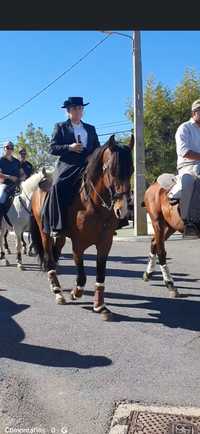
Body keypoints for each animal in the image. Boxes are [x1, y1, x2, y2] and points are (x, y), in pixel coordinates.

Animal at [30, 135, 134, 318]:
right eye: (112, 170)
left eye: (132, 170)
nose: (123, 209)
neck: (94, 205)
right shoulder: (78, 245)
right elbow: (82, 275)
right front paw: (75, 292)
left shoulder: (105, 243)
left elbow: (100, 274)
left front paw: (99, 305)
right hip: (45, 233)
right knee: (49, 258)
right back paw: (57, 291)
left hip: (60, 237)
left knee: (55, 254)